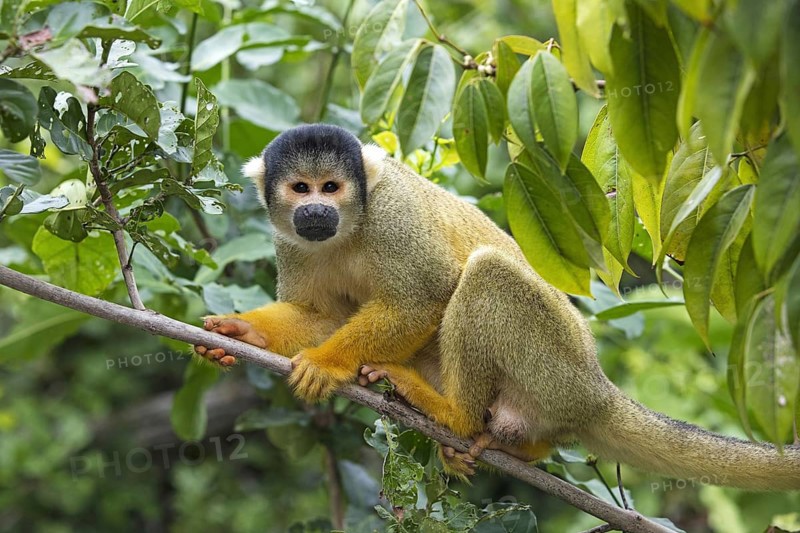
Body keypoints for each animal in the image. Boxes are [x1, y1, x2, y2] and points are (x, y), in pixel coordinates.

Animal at [193, 123, 800, 490]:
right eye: (300, 188)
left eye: (332, 187)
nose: (315, 211)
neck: (349, 227)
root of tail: (597, 389)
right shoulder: (288, 239)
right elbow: (321, 317)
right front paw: (241, 333)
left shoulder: (392, 212)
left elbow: (428, 292)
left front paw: (325, 363)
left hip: (554, 368)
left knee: (487, 275)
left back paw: (451, 415)